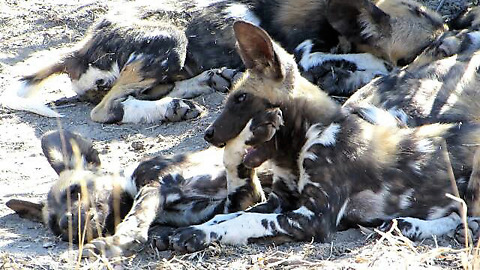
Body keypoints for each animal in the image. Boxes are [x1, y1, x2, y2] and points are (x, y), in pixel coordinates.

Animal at [162, 21, 480, 253]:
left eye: (240, 98)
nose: (208, 134)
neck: (301, 141)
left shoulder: (313, 218)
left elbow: (247, 219)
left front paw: (198, 234)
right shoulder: (281, 202)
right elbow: (231, 214)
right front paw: (182, 233)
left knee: (469, 219)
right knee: (458, 213)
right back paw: (406, 225)